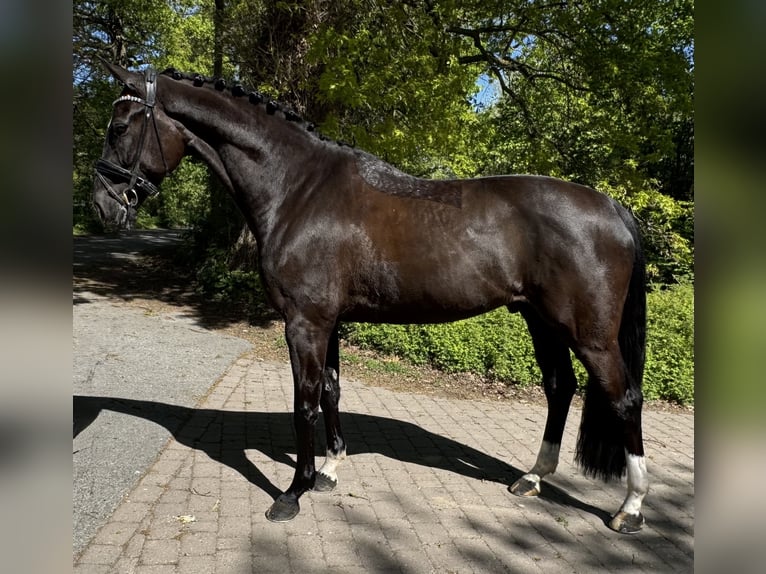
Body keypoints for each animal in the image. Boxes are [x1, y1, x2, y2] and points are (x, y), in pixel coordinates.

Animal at [91, 63, 649, 534]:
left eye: (119, 127)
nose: (101, 205)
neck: (298, 188)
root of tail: (612, 207)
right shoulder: (329, 322)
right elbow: (332, 391)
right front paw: (331, 469)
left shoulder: (305, 323)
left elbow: (304, 402)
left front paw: (293, 493)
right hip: (542, 320)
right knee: (560, 388)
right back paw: (532, 478)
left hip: (590, 334)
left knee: (623, 398)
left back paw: (630, 508)